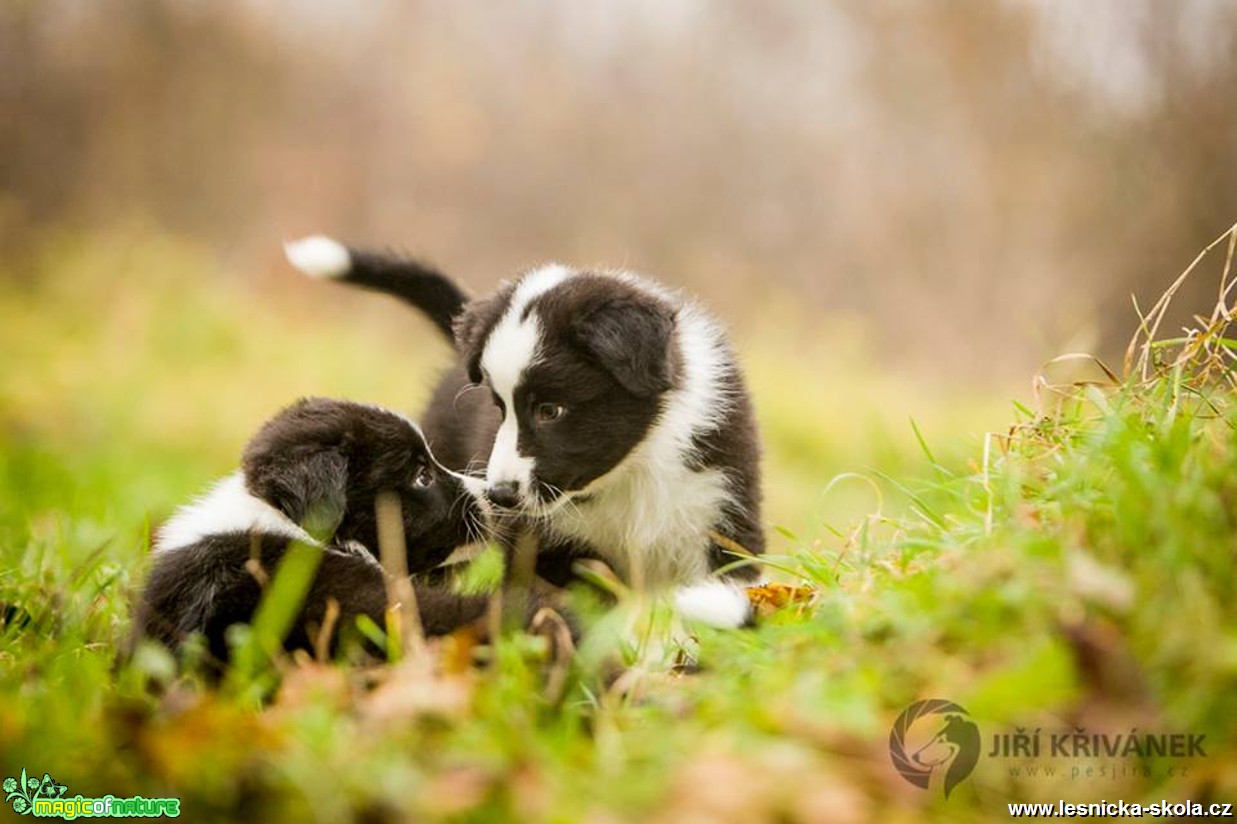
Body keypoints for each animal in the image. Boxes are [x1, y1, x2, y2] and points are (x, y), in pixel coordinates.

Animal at [285, 233, 761, 626]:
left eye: (550, 410)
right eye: (498, 408)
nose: (500, 496)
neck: (631, 471)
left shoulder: (721, 516)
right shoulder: (538, 546)